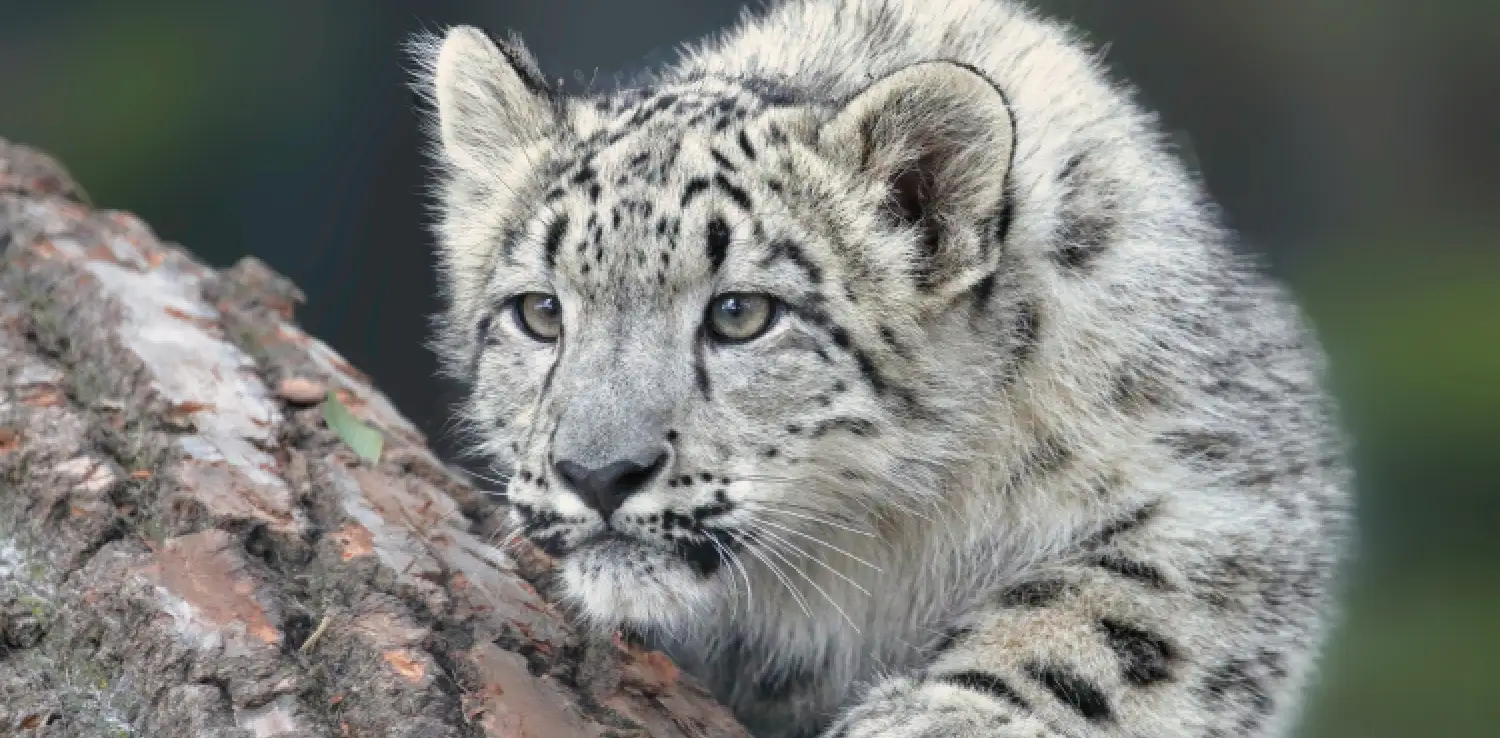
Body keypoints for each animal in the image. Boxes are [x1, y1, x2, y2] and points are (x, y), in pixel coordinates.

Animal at [417, 2, 1356, 735]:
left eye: (741, 313)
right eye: (541, 312)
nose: (598, 473)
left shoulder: (1227, 482)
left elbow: (1118, 610)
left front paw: (945, 717)